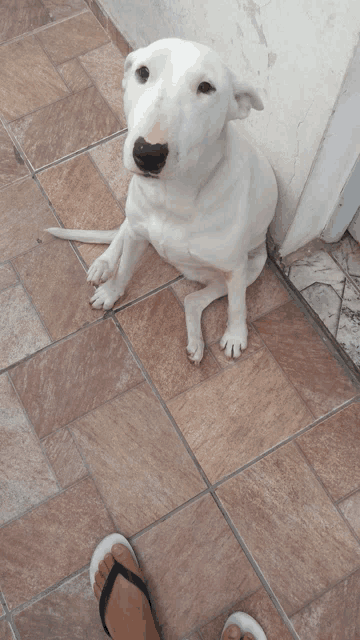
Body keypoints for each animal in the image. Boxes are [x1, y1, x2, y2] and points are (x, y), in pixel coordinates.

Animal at [47, 37, 278, 362]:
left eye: (206, 87)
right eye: (143, 72)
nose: (148, 153)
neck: (174, 195)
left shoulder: (235, 270)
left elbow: (237, 305)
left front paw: (235, 335)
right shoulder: (137, 234)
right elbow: (125, 268)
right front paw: (112, 290)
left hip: (252, 266)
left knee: (193, 300)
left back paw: (197, 342)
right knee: (122, 230)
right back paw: (104, 263)